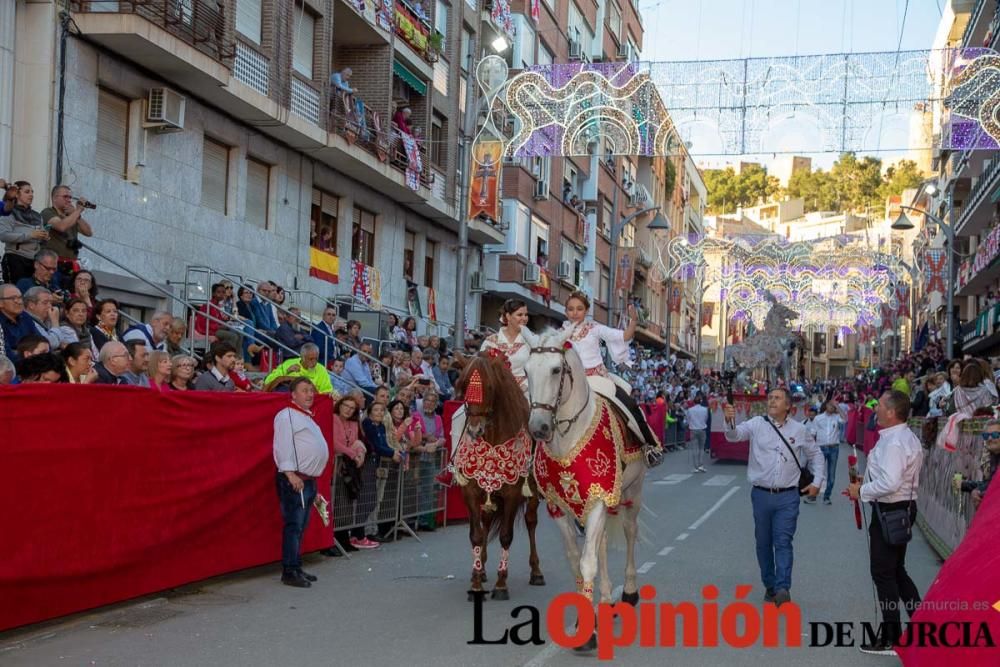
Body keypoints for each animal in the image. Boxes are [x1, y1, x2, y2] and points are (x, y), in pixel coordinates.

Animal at [456, 352, 548, 604]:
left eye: (489, 386)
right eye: (463, 385)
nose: (475, 430)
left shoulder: (513, 493)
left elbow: (506, 536)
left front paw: (501, 585)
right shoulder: (471, 491)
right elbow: (476, 535)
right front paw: (476, 582)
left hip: (532, 491)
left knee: (531, 521)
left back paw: (536, 572)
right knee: (487, 522)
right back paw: (481, 569)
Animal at [524, 328, 648, 652]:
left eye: (557, 369)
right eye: (526, 371)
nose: (539, 428)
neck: (566, 440)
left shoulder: (599, 500)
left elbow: (588, 561)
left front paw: (589, 635)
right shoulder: (558, 506)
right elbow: (575, 561)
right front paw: (585, 619)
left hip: (633, 490)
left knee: (630, 531)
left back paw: (629, 592)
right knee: (602, 542)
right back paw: (605, 600)